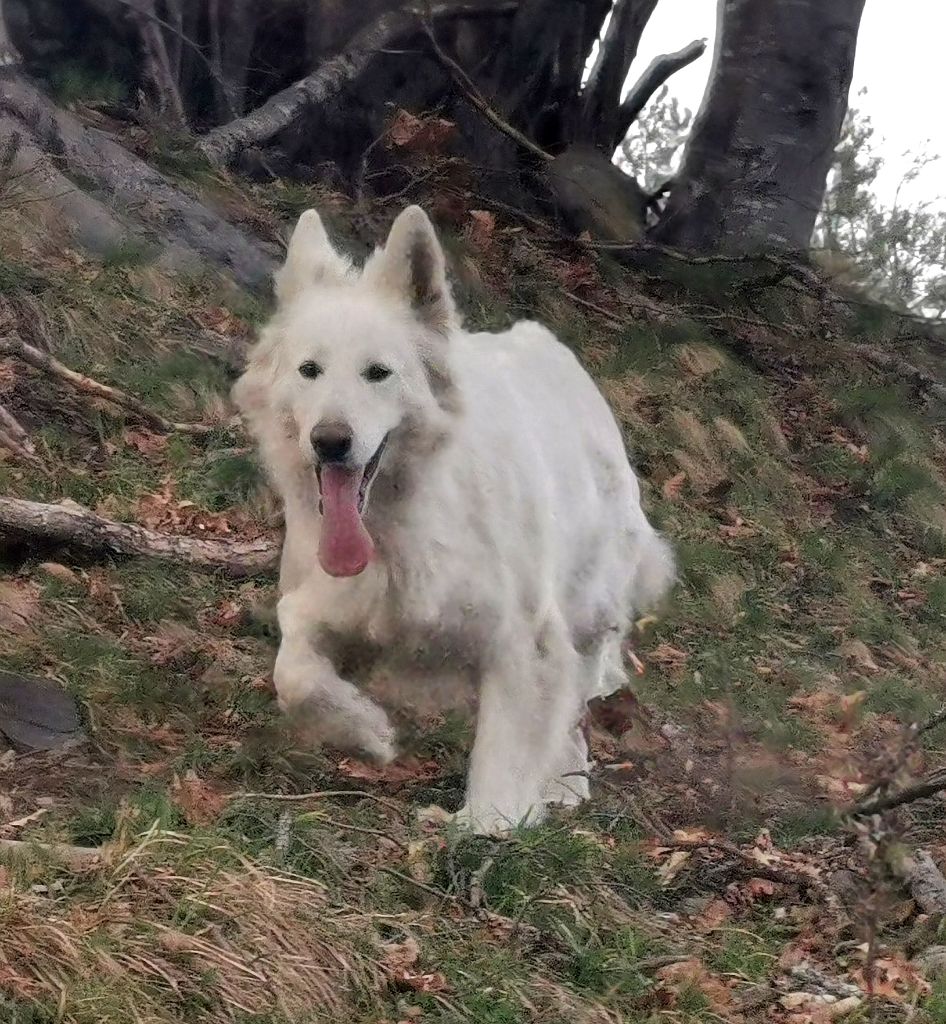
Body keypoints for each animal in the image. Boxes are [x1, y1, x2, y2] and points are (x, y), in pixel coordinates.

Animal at [231, 205, 667, 831]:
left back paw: (564, 787)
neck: (399, 523)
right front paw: (368, 730)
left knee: (574, 707)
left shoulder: (524, 642)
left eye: (378, 373)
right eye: (309, 370)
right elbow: (294, 673)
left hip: (586, 613)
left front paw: (487, 828)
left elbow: (506, 752)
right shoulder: (324, 606)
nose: (330, 442)